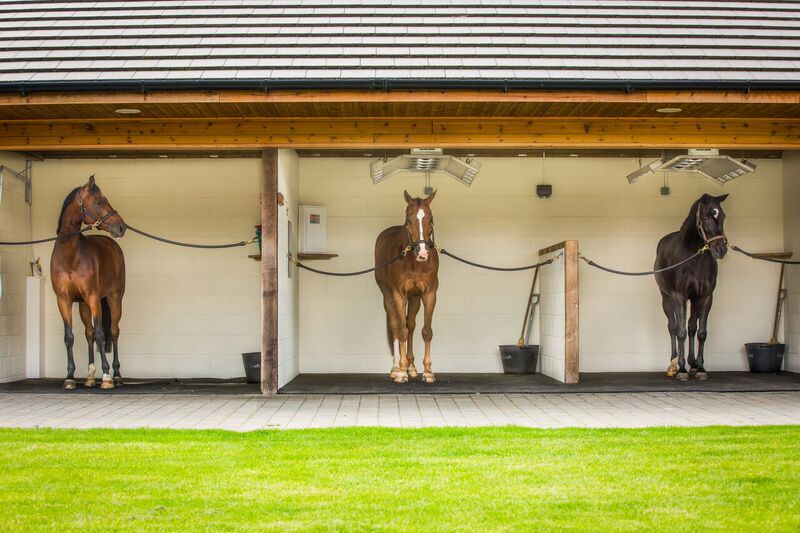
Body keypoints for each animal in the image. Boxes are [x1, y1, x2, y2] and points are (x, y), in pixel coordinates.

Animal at [51, 175, 127, 390]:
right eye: (99, 201)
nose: (121, 227)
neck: (70, 256)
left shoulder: (93, 298)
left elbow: (102, 334)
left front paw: (107, 376)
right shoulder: (63, 300)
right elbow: (69, 337)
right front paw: (69, 377)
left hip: (114, 298)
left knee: (113, 332)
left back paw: (117, 375)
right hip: (83, 305)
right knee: (88, 334)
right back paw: (90, 376)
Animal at [375, 190, 439, 384]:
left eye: (430, 218)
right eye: (409, 219)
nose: (423, 252)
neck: (415, 262)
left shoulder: (429, 294)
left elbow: (426, 331)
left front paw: (428, 372)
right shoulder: (399, 295)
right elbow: (400, 330)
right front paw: (401, 372)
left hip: (415, 298)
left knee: (410, 325)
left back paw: (411, 367)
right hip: (387, 296)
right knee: (396, 326)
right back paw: (397, 368)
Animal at [655, 193, 728, 381]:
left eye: (723, 216)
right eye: (705, 217)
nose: (721, 250)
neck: (694, 259)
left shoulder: (705, 297)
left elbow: (700, 332)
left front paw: (700, 367)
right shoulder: (679, 296)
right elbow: (680, 331)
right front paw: (681, 370)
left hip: (694, 300)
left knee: (691, 328)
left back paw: (692, 364)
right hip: (667, 299)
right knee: (673, 327)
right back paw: (673, 364)